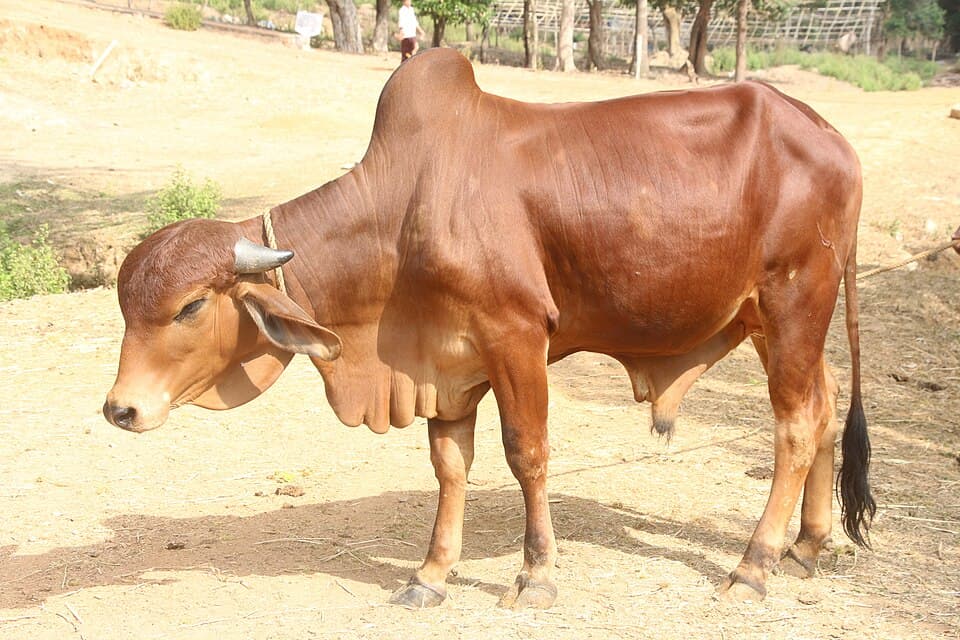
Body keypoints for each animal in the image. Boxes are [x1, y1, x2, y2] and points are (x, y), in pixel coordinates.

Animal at [103, 49, 874, 610]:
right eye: (125, 304)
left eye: (189, 307)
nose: (121, 409)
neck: (403, 213)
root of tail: (830, 134)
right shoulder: (446, 362)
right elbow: (450, 466)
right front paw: (431, 573)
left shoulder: (517, 339)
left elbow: (526, 454)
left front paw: (536, 576)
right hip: (765, 319)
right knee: (826, 400)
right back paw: (807, 546)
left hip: (795, 299)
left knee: (795, 424)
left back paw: (754, 564)